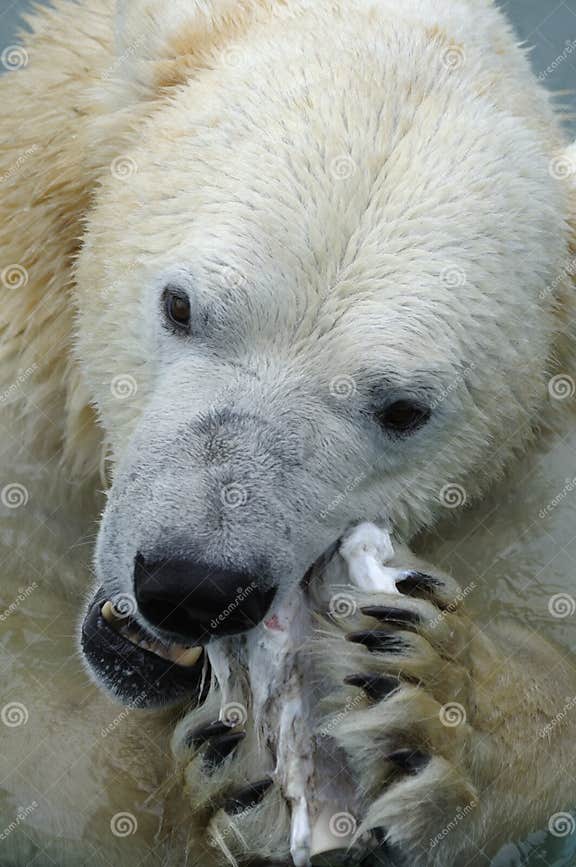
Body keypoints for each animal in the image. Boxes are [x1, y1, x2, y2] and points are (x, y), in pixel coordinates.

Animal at [1, 0, 576, 865]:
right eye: (180, 304)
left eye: (403, 408)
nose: (194, 584)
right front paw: (223, 767)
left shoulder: (528, 498)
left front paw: (435, 704)